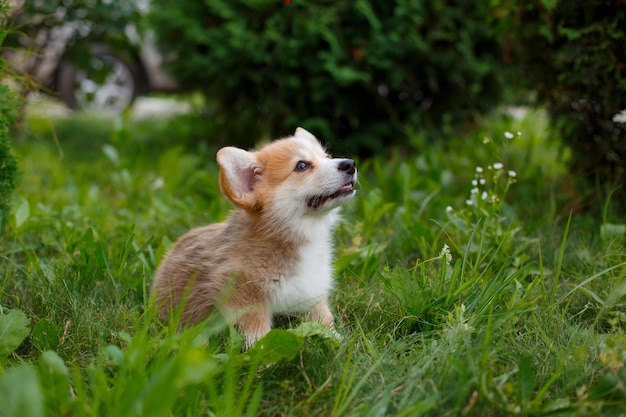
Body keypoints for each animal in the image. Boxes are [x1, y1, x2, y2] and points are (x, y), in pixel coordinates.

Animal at [150, 127, 356, 348]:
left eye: (327, 156)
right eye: (301, 165)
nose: (350, 164)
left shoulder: (312, 292)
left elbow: (323, 319)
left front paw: (339, 341)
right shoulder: (244, 294)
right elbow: (258, 332)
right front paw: (264, 353)